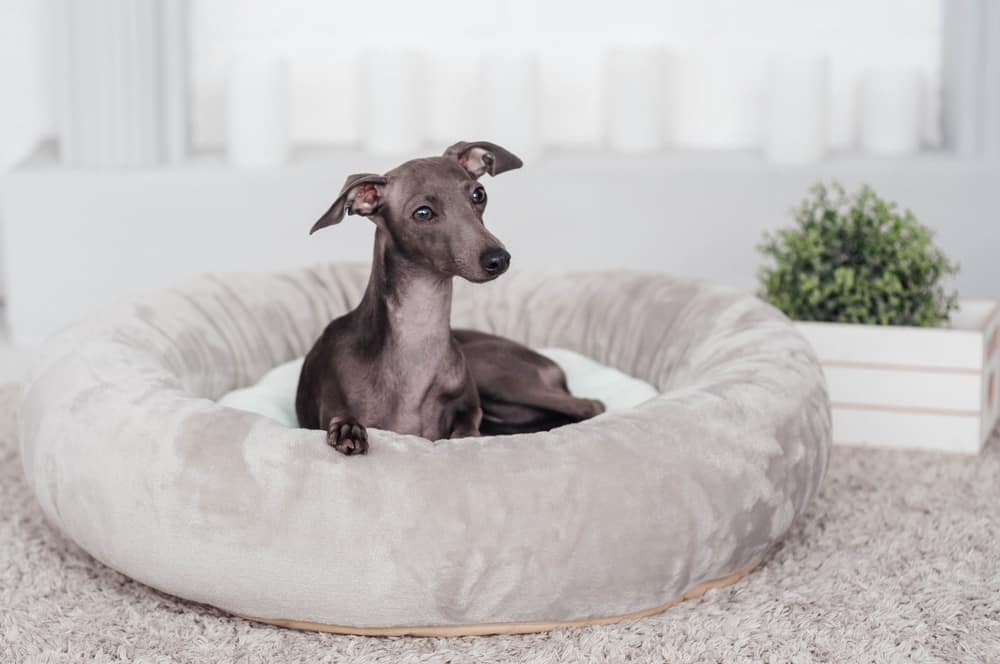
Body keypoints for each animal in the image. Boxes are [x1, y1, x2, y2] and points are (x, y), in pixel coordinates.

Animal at [292, 137, 604, 454]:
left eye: (479, 194)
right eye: (423, 213)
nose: (498, 259)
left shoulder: (469, 406)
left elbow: (466, 427)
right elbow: (340, 416)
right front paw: (347, 429)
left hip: (491, 370)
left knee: (590, 406)